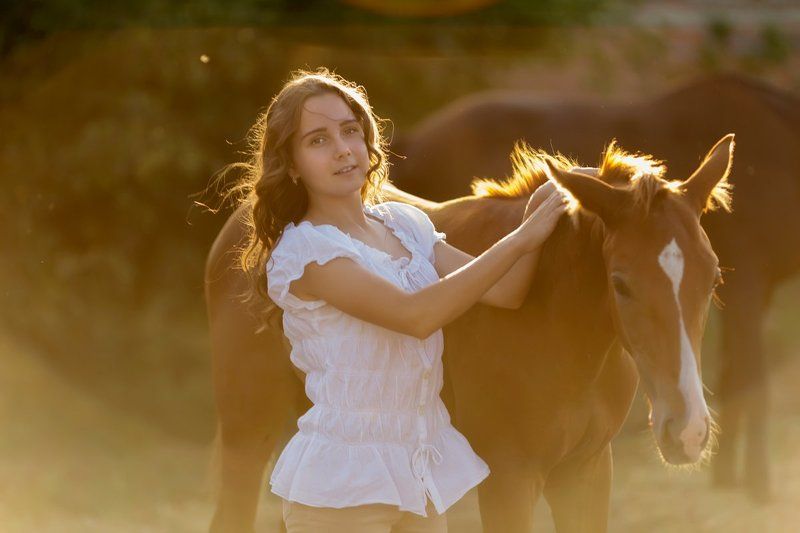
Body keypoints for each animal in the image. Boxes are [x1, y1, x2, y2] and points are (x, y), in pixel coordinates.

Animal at [389, 73, 800, 502]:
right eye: (619, 282)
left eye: (713, 277)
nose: (687, 432)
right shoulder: (509, 479)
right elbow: (751, 379)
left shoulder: (587, 471)